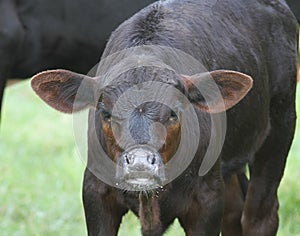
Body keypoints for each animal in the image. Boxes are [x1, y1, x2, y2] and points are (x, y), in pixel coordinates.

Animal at [30, 0, 298, 235]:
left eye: (173, 112)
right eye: (105, 113)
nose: (139, 162)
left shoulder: (207, 198)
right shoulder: (95, 191)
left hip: (281, 126)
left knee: (259, 216)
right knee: (234, 213)